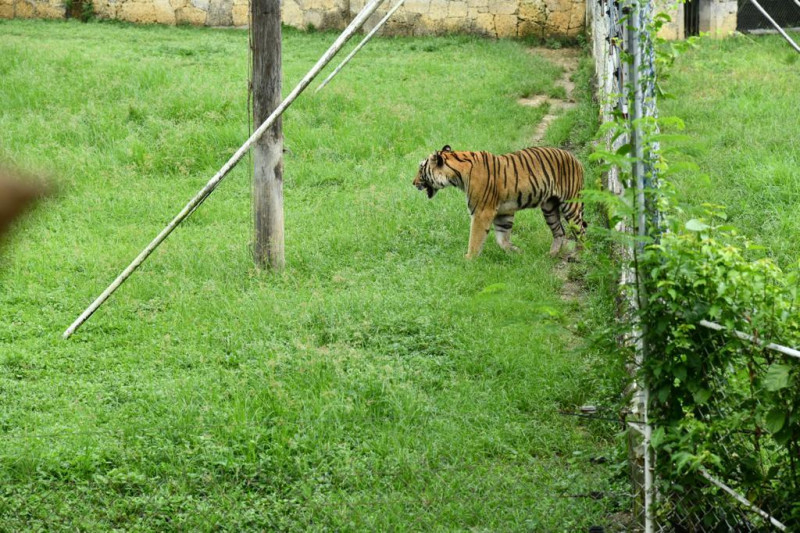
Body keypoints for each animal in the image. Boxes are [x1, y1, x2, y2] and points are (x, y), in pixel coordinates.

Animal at [416, 145, 584, 260]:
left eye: (420, 169)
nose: (413, 183)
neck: (457, 176)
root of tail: (574, 158)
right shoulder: (504, 212)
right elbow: (502, 239)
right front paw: (517, 252)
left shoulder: (481, 212)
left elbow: (475, 238)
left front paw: (469, 259)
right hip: (549, 207)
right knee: (560, 231)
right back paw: (552, 254)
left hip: (571, 204)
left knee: (581, 230)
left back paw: (577, 255)